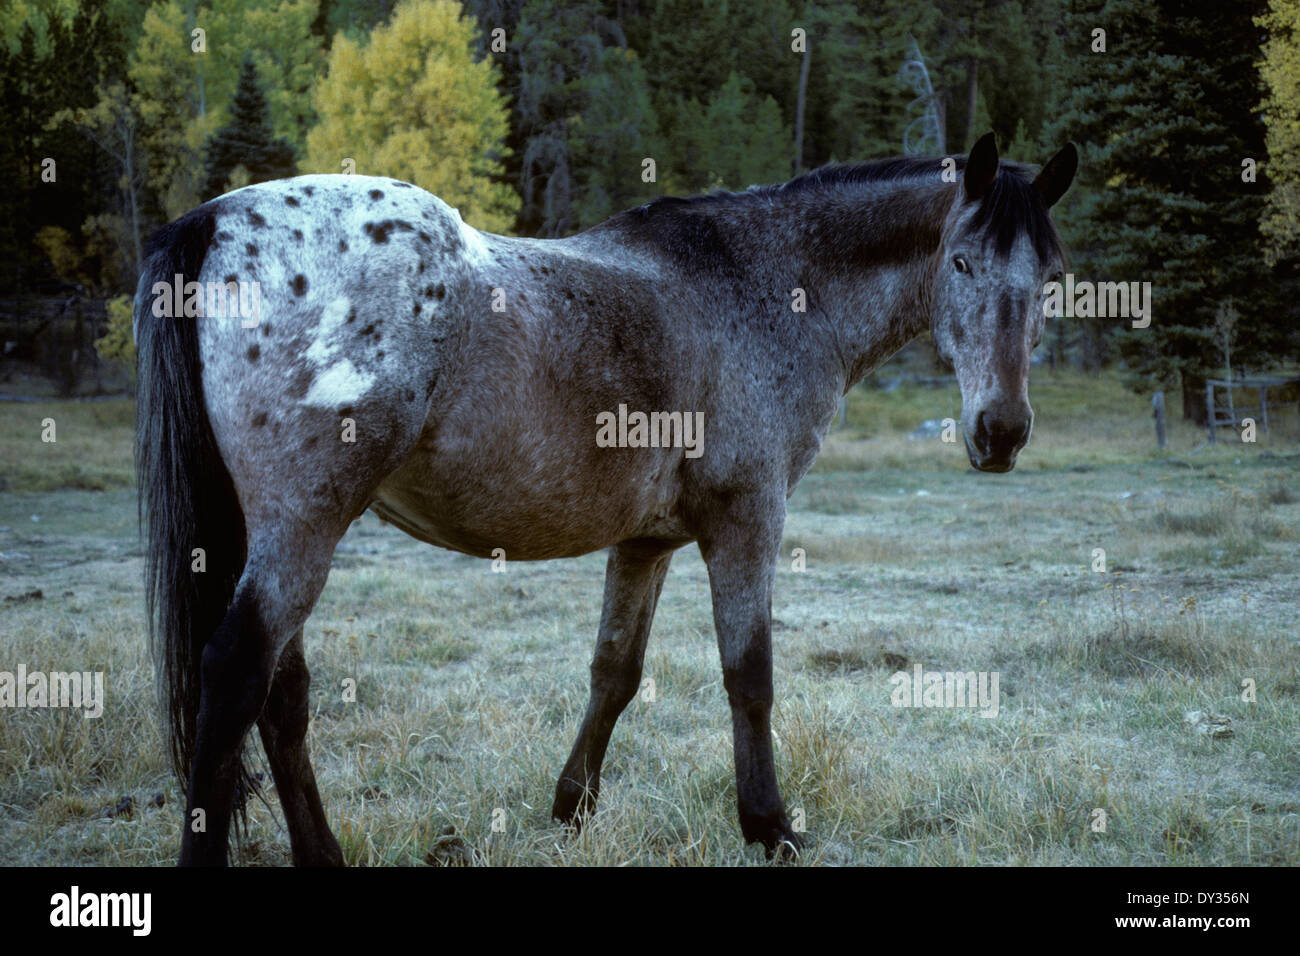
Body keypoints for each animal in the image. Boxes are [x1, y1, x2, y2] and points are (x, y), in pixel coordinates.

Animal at [134, 132, 1076, 868]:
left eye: (1052, 277)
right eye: (961, 260)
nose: (1000, 431)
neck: (764, 286)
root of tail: (214, 223)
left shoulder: (646, 542)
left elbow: (614, 673)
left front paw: (571, 807)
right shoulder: (747, 520)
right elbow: (749, 675)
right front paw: (768, 826)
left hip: (279, 534)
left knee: (281, 696)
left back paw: (323, 854)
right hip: (304, 529)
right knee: (237, 678)